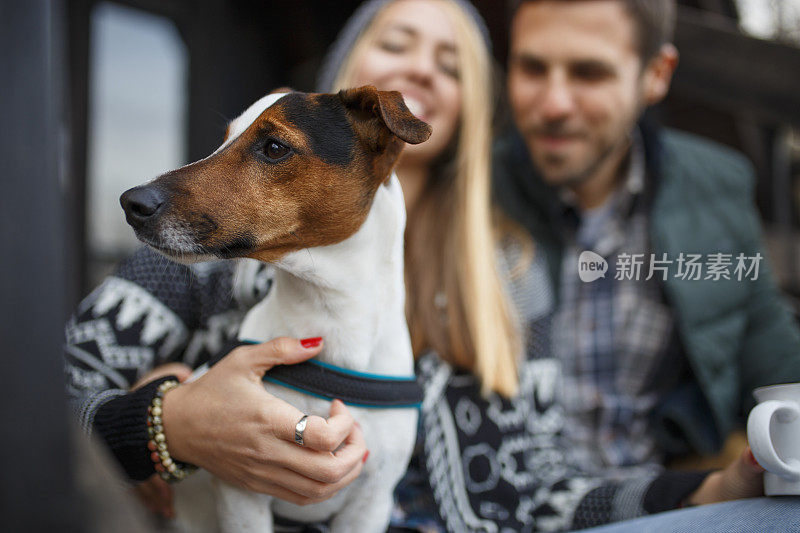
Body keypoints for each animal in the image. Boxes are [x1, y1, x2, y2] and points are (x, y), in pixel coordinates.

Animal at [119, 85, 432, 528]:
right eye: (224, 139)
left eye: (274, 147)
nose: (131, 202)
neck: (330, 318)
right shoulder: (242, 493)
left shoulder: (371, 502)